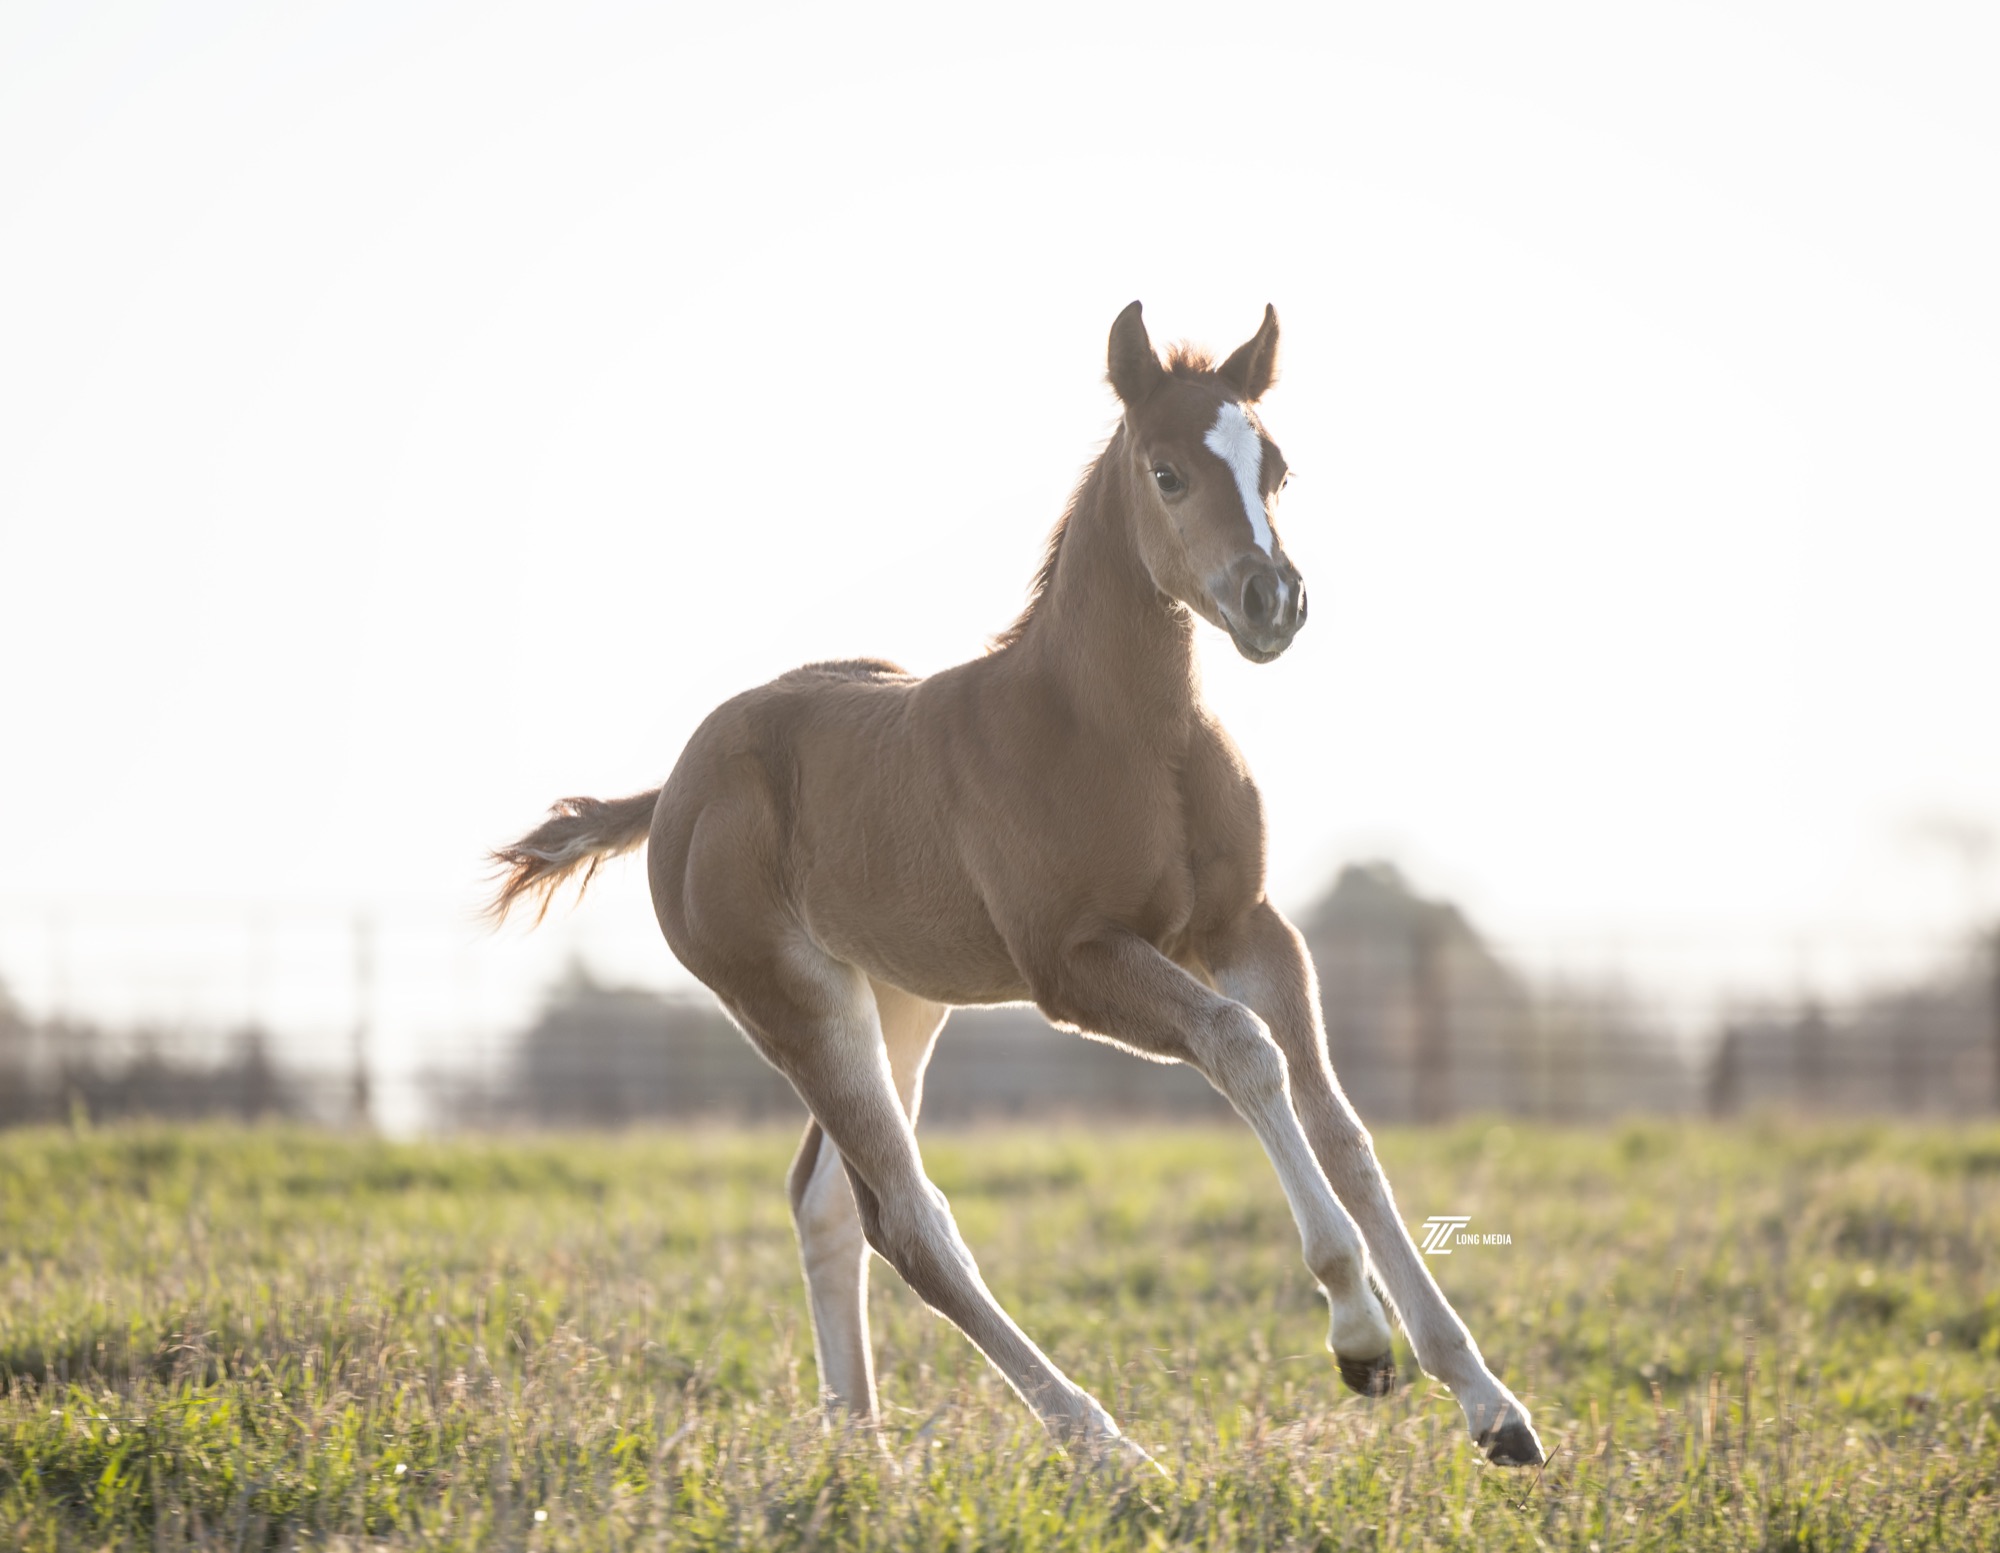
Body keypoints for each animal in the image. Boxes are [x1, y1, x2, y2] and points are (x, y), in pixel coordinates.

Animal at [487, 302, 1544, 1468]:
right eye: (1167, 472)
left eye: (1273, 467)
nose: (1273, 601)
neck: (1128, 731)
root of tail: (675, 783)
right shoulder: (1073, 965)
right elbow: (1242, 1050)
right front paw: (1358, 1337)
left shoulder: (1250, 929)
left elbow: (1343, 1129)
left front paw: (1489, 1402)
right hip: (795, 1000)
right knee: (904, 1219)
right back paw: (1104, 1446)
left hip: (900, 996)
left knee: (827, 1203)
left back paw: (866, 1451)